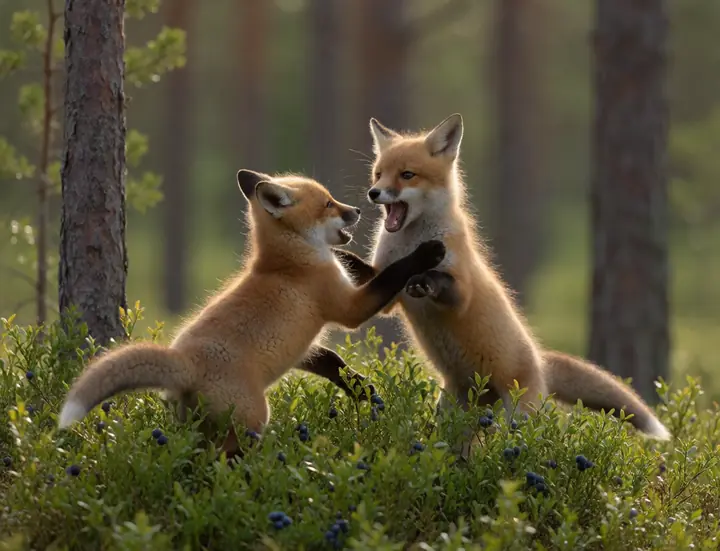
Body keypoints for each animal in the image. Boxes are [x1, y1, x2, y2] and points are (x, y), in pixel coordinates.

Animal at [57, 169, 446, 456]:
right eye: (327, 204)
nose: (358, 209)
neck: (289, 261)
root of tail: (184, 360)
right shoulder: (348, 307)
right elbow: (392, 275)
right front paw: (427, 253)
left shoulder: (299, 345)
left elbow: (331, 360)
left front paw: (362, 389)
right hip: (253, 421)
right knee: (227, 460)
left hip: (195, 428)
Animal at [332, 113, 671, 444]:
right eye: (378, 174)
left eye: (406, 175)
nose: (373, 193)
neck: (409, 242)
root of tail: (540, 362)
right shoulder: (387, 292)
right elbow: (371, 273)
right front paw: (340, 257)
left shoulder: (461, 293)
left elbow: (440, 280)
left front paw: (424, 279)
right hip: (453, 418)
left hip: (519, 420)